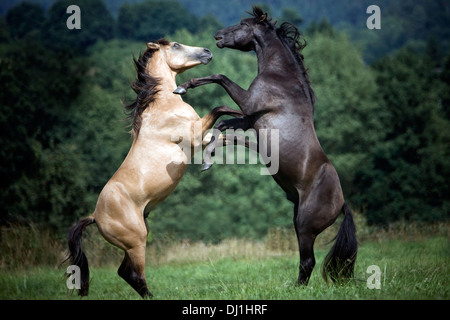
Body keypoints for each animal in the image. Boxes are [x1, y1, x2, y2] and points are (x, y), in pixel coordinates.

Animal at [64, 39, 243, 298]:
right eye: (176, 45)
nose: (207, 52)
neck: (163, 104)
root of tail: (95, 216)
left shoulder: (202, 138)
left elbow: (227, 137)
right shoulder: (195, 135)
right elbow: (220, 108)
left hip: (134, 241)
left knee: (125, 273)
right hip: (136, 241)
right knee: (136, 274)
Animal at [174, 6, 356, 284]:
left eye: (242, 24)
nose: (217, 36)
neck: (281, 76)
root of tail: (341, 203)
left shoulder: (248, 103)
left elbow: (220, 77)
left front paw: (183, 87)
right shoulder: (249, 120)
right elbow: (223, 127)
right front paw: (207, 158)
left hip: (305, 227)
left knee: (308, 261)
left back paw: (296, 288)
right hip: (297, 222)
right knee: (305, 262)